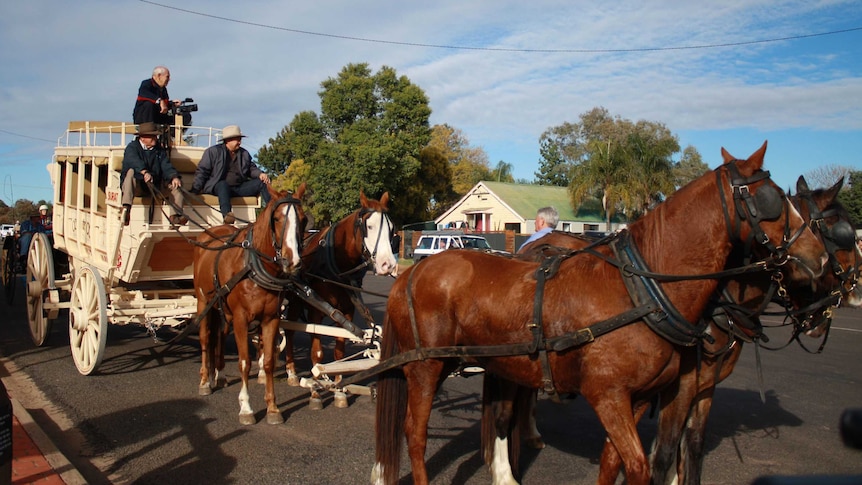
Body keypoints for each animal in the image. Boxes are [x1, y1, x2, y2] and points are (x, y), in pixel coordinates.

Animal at [195, 183, 308, 426]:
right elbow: (244, 362)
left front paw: (272, 408)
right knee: (206, 339)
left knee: (219, 335)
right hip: (203, 303)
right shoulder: (240, 318)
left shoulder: (271, 319)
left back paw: (219, 374)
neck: (255, 267)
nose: (292, 261)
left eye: (303, 220)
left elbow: (268, 362)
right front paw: (246, 407)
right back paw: (205, 381)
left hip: (221, 308)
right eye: (276, 218)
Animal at [286, 191, 402, 406]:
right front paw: (315, 390)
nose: (388, 265)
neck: (336, 266)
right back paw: (290, 372)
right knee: (287, 331)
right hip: (295, 301)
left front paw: (339, 389)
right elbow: (317, 352)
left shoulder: (348, 310)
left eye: (391, 229)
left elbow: (339, 351)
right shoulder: (316, 311)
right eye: (369, 226)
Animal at [372, 145, 832, 484]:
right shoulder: (609, 395)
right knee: (414, 433)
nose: (820, 259)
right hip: (426, 366)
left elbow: (616, 462)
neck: (643, 290)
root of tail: (414, 271)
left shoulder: (640, 397)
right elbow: (644, 466)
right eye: (773, 199)